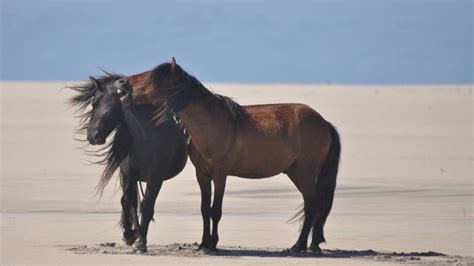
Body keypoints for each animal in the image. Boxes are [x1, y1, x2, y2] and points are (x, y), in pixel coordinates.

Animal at [67, 74, 188, 252]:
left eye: (95, 103)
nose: (91, 136)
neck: (147, 137)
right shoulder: (128, 174)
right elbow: (127, 201)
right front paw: (130, 235)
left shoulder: (156, 177)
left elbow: (146, 205)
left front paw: (141, 242)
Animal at [118, 59, 340, 252]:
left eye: (152, 78)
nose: (122, 83)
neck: (212, 125)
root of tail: (323, 122)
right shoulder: (202, 175)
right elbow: (205, 209)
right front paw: (203, 244)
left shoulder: (220, 175)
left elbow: (216, 210)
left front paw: (213, 245)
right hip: (295, 173)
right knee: (313, 205)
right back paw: (311, 244)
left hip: (306, 173)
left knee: (312, 205)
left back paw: (300, 246)